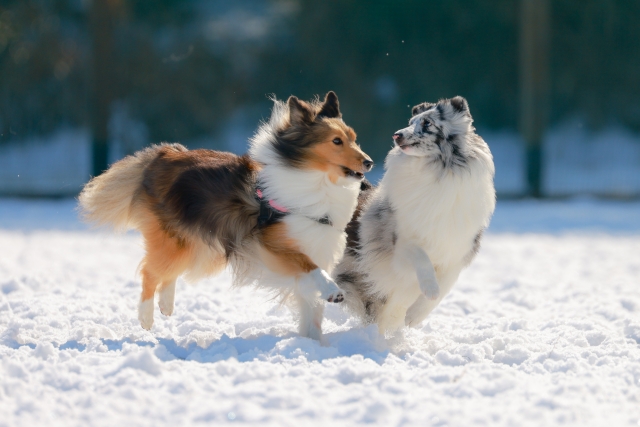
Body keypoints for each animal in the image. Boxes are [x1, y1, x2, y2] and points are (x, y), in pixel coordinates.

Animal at [77, 93, 372, 342]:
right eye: (336, 141)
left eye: (354, 138)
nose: (369, 162)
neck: (316, 181)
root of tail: (164, 154)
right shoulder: (273, 245)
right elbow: (312, 269)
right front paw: (333, 292)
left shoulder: (316, 247)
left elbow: (312, 309)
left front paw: (315, 344)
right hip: (177, 241)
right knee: (151, 271)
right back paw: (146, 317)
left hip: (195, 243)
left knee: (168, 273)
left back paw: (166, 305)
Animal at [332, 97, 498, 334]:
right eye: (410, 122)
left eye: (427, 123)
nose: (396, 135)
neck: (434, 173)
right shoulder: (403, 244)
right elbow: (422, 260)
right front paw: (429, 289)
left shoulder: (457, 253)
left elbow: (442, 290)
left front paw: (414, 315)